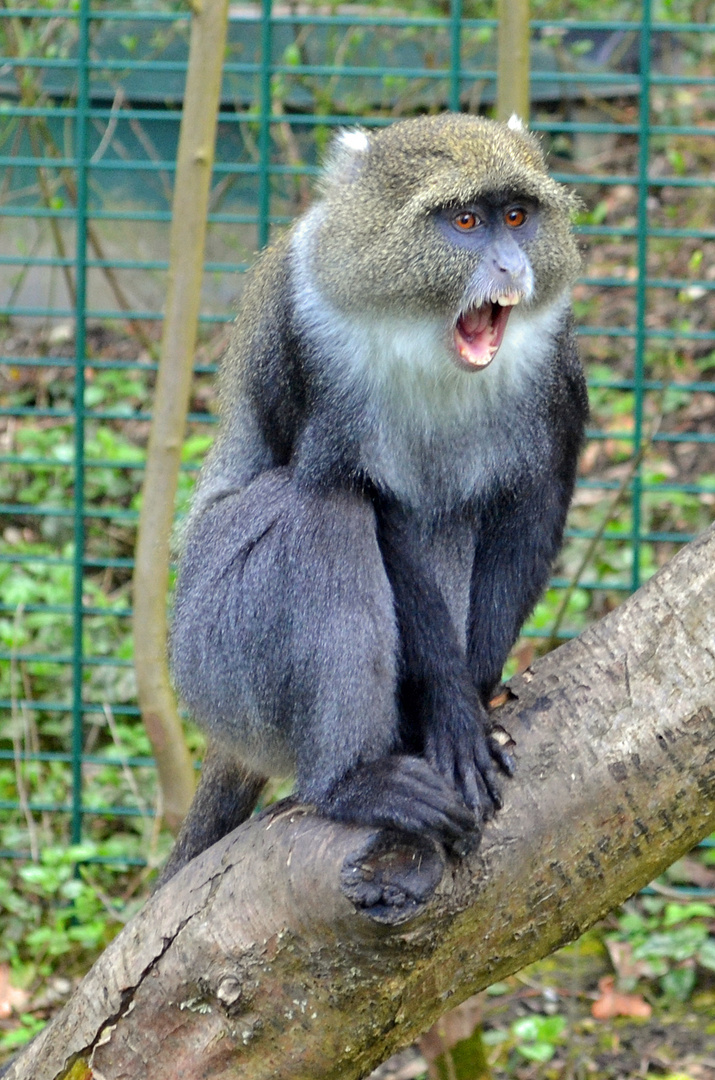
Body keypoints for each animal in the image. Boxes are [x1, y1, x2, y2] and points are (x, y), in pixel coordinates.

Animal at [160, 111, 587, 885]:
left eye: (516, 216)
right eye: (464, 221)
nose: (510, 268)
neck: (420, 333)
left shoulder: (557, 370)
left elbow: (530, 507)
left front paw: (473, 692)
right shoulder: (305, 341)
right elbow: (367, 502)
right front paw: (451, 707)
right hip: (214, 662)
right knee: (321, 512)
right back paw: (352, 780)